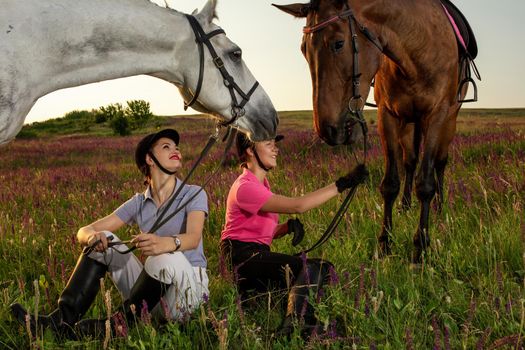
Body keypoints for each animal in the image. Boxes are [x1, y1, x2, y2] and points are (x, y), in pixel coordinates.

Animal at [274, 0, 474, 262]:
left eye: (338, 43)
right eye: (303, 49)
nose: (327, 130)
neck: (416, 48)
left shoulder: (437, 115)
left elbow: (426, 184)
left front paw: (420, 247)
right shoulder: (387, 116)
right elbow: (390, 184)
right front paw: (385, 244)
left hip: (448, 120)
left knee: (439, 163)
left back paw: (440, 209)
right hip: (410, 123)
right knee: (410, 161)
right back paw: (405, 206)